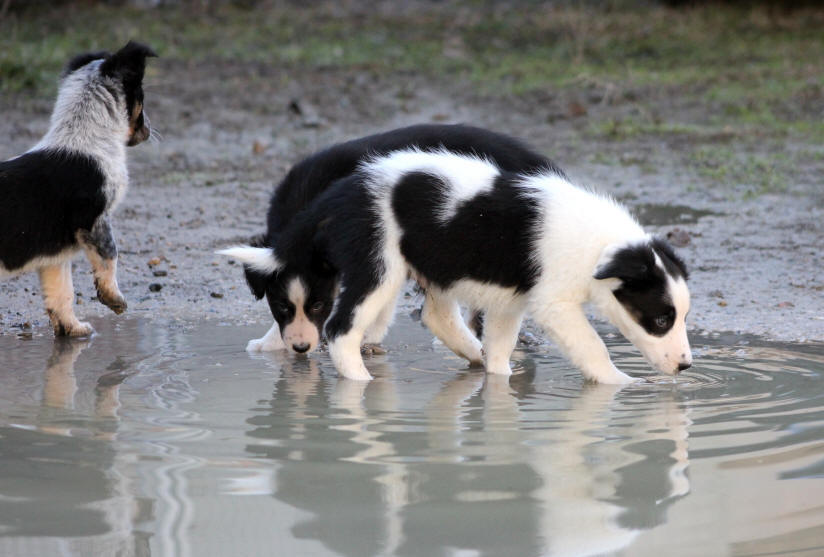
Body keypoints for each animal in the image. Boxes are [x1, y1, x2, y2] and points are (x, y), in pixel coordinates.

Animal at [0, 41, 157, 336]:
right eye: (142, 96)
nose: (150, 130)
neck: (84, 136)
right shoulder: (95, 221)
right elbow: (110, 257)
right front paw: (114, 300)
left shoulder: (53, 256)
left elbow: (62, 292)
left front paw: (75, 330)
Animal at [222, 148, 692, 382]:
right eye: (660, 320)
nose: (686, 367)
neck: (600, 245)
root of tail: (343, 190)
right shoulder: (555, 306)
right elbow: (594, 348)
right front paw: (624, 386)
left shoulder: (509, 302)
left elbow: (500, 351)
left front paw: (497, 384)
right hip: (378, 267)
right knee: (340, 331)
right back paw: (361, 386)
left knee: (438, 317)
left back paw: (472, 356)